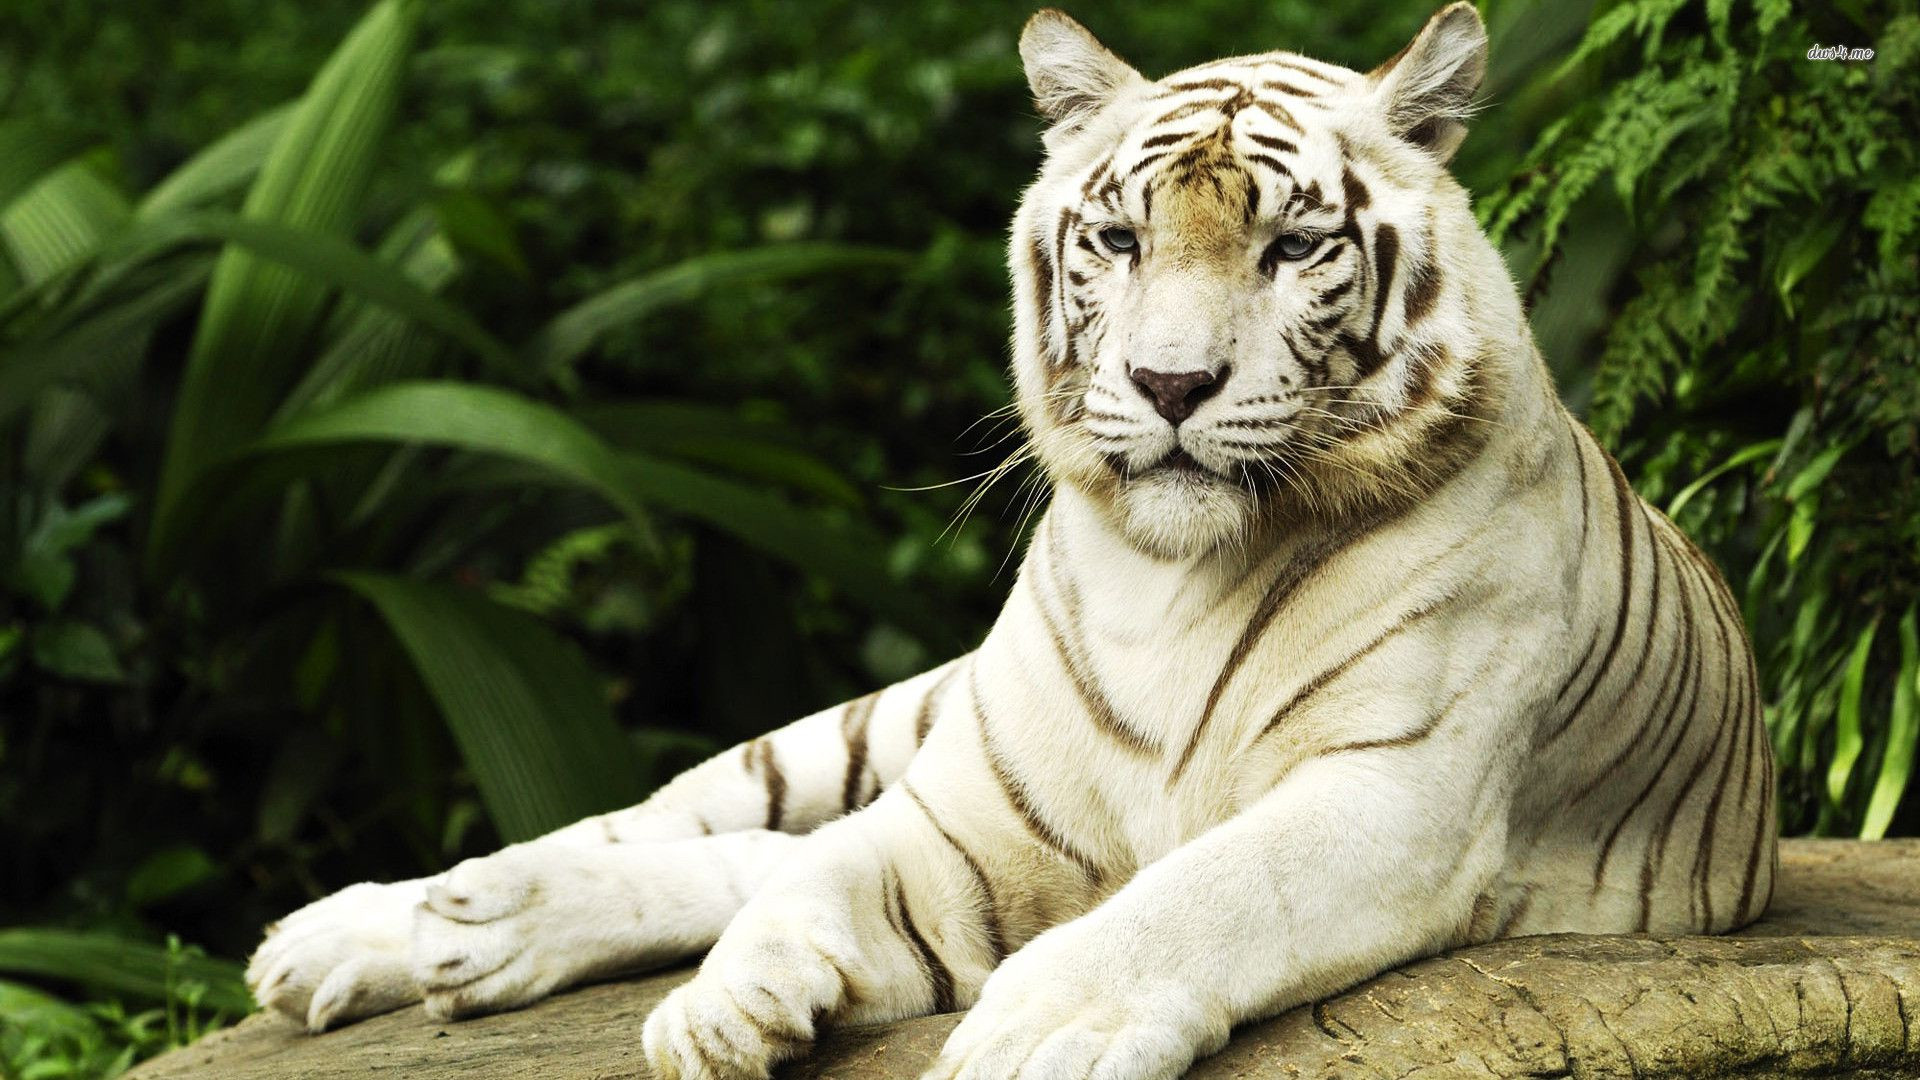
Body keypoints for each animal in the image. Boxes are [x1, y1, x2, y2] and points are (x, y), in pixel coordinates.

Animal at [244, 5, 1779, 1079]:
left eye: (1291, 250)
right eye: (1118, 239)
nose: (1171, 384)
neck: (1175, 578)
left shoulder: (1393, 796)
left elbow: (1205, 892)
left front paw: (1037, 1028)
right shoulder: (971, 816)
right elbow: (817, 876)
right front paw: (727, 1008)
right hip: (890, 726)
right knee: (703, 825)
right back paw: (403, 924)